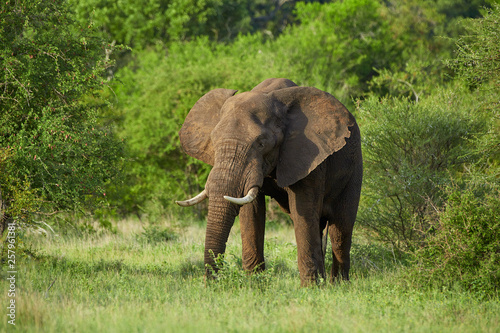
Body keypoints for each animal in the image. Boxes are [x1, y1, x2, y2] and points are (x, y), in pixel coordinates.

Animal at [178, 78, 362, 286]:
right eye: (213, 140)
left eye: (261, 143)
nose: (211, 283)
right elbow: (251, 212)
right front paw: (255, 285)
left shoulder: (309, 156)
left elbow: (303, 212)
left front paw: (309, 289)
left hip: (355, 166)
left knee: (341, 228)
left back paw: (338, 284)